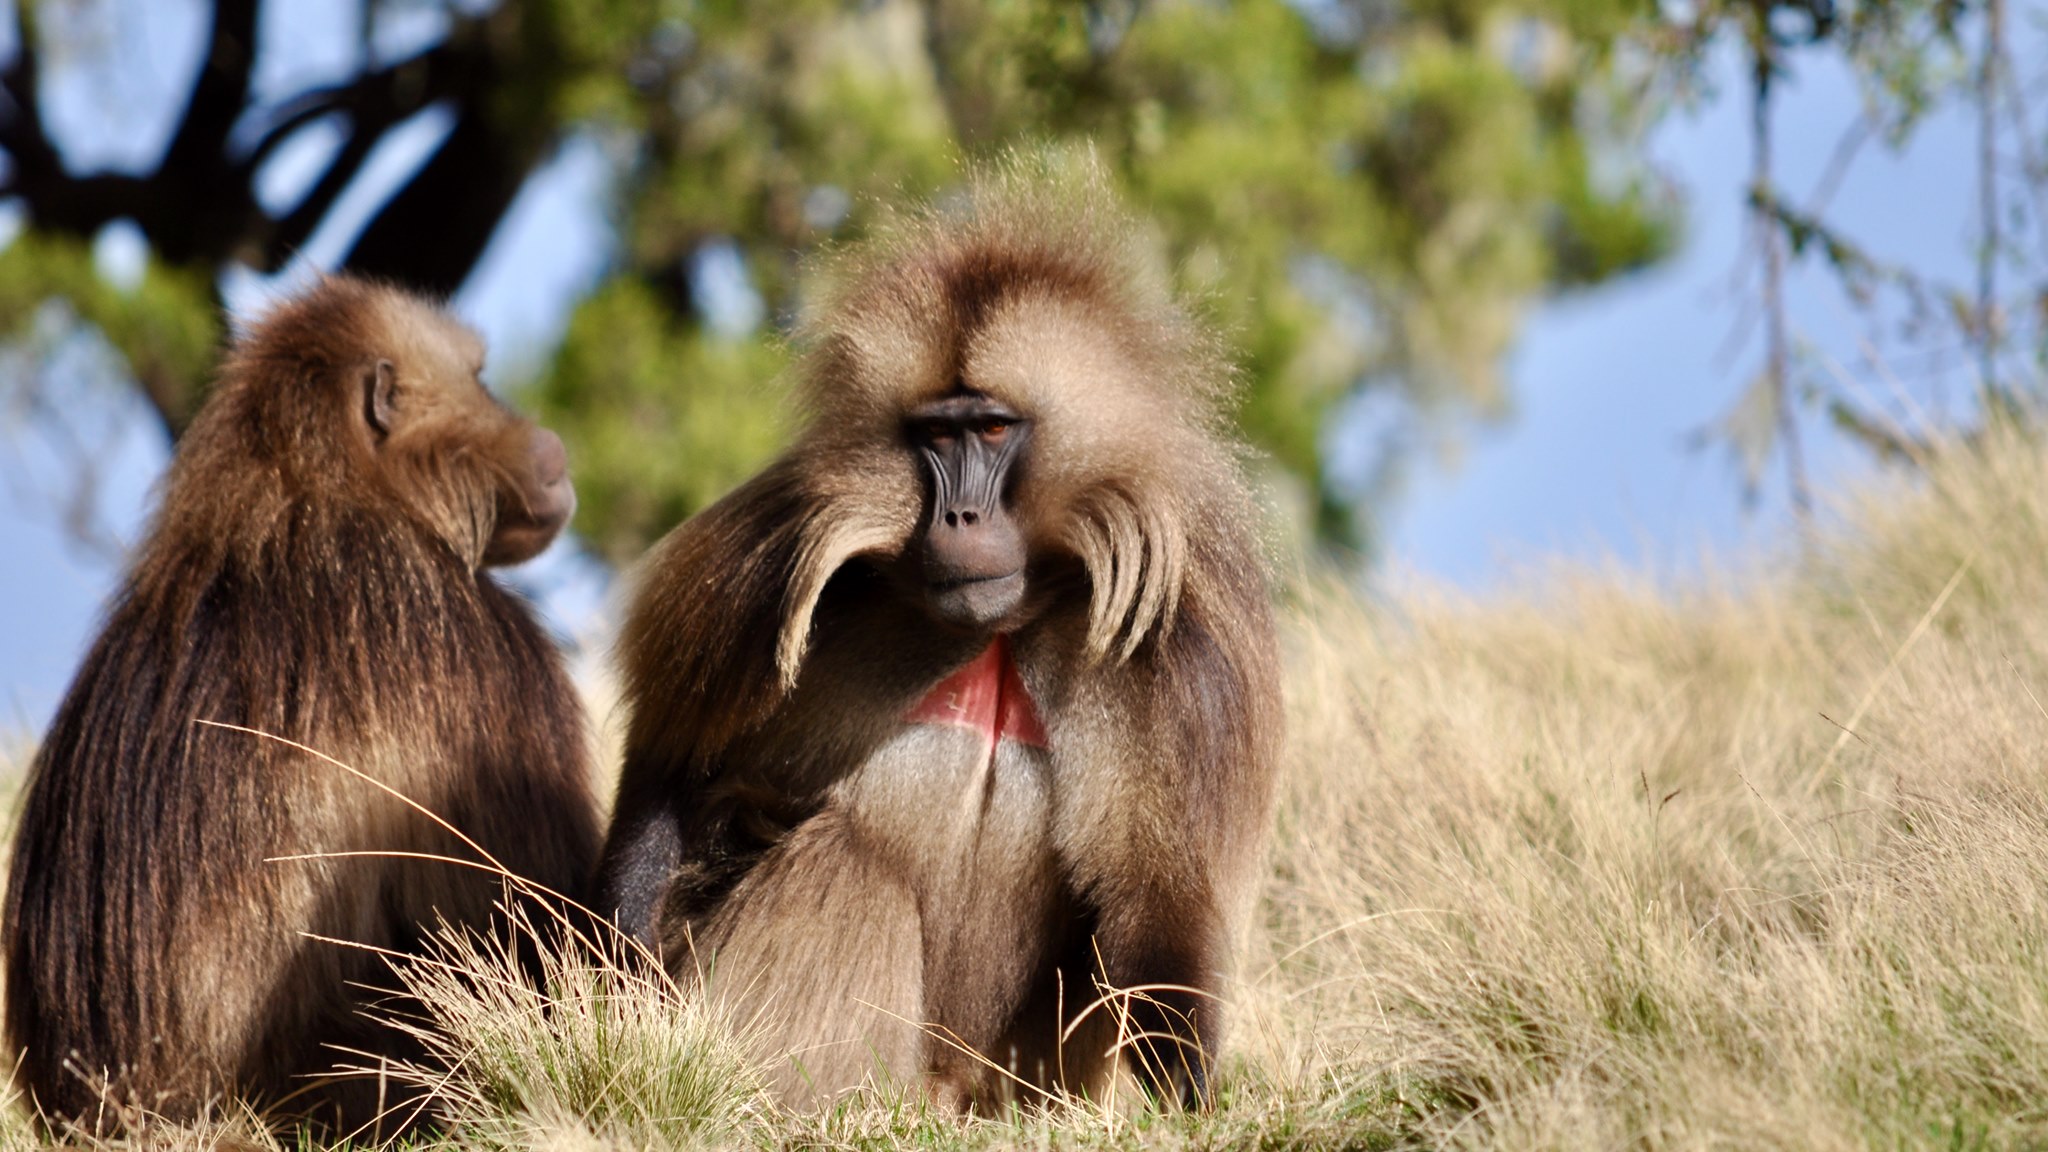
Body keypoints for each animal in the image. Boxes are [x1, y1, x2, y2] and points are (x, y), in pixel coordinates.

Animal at [595, 164, 1282, 1112]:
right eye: (934, 436)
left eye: (992, 428)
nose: (959, 517)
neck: (1008, 620)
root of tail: (944, 1088)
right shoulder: (767, 577)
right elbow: (678, 763)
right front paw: (615, 1002)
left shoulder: (1175, 646)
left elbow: (1157, 896)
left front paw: (1189, 1099)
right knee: (845, 859)